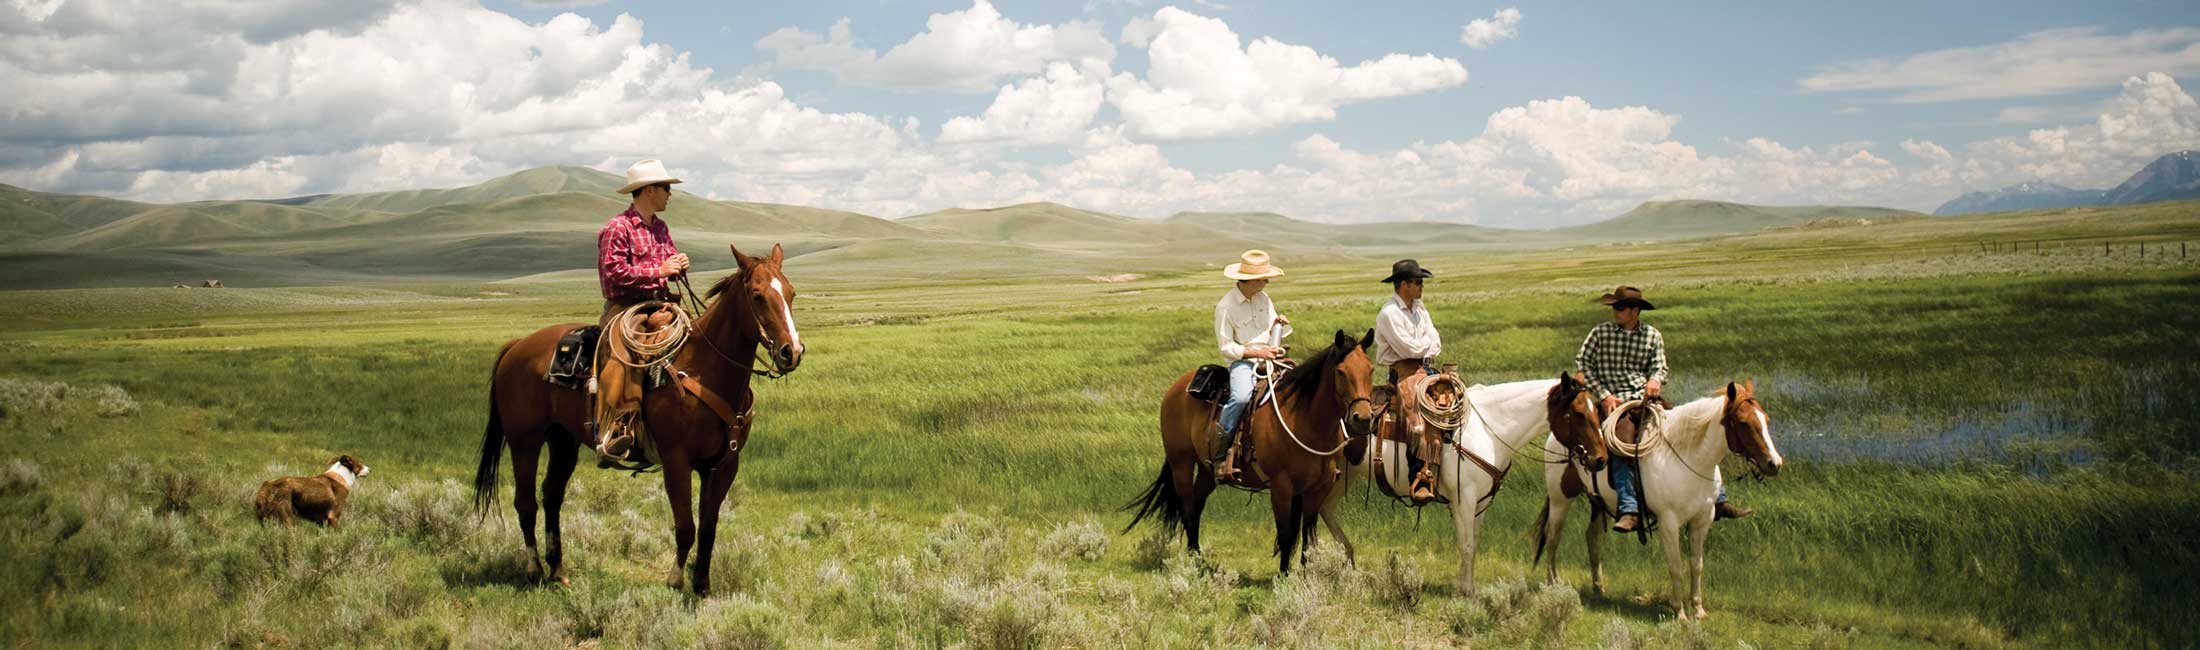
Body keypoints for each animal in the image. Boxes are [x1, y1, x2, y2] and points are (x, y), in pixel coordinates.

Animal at [470, 243, 804, 594]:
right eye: (757, 295)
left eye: (791, 293)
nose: (791, 352)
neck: (707, 370)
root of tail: (516, 346)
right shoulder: (676, 459)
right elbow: (686, 525)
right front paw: (675, 581)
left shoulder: (724, 464)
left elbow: (709, 528)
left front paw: (702, 587)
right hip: (525, 441)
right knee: (525, 503)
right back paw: (534, 571)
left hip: (563, 440)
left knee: (551, 496)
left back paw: (558, 570)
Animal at [1125, 329, 1378, 575]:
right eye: (1341, 372)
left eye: (1371, 369)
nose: (1363, 418)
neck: (1305, 419)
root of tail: (1178, 386)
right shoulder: (1281, 486)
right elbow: (1286, 535)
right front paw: (1284, 577)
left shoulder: (1318, 487)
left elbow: (1308, 536)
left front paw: (1307, 576)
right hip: (1181, 463)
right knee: (1187, 509)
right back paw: (1192, 563)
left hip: (1207, 470)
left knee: (1196, 505)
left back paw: (1199, 560)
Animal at [1315, 372, 1609, 593]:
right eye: (1578, 413)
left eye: (1596, 410)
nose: (1600, 459)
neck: (1489, 429)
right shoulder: (1463, 500)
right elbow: (1465, 545)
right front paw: (1465, 591)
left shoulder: (1481, 503)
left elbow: (1473, 543)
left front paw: (1466, 585)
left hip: (1344, 475)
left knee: (1324, 509)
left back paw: (1343, 556)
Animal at [1530, 380, 1784, 619]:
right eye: (1743, 422)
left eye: (1766, 419)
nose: (1774, 463)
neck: (1687, 457)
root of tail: (1556, 436)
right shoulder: (1668, 522)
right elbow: (1676, 567)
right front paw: (1680, 613)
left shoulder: (1703, 519)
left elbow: (1697, 565)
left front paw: (1698, 610)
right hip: (1560, 499)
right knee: (1553, 539)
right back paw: (1553, 586)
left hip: (1598, 502)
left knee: (1592, 538)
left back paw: (1598, 588)